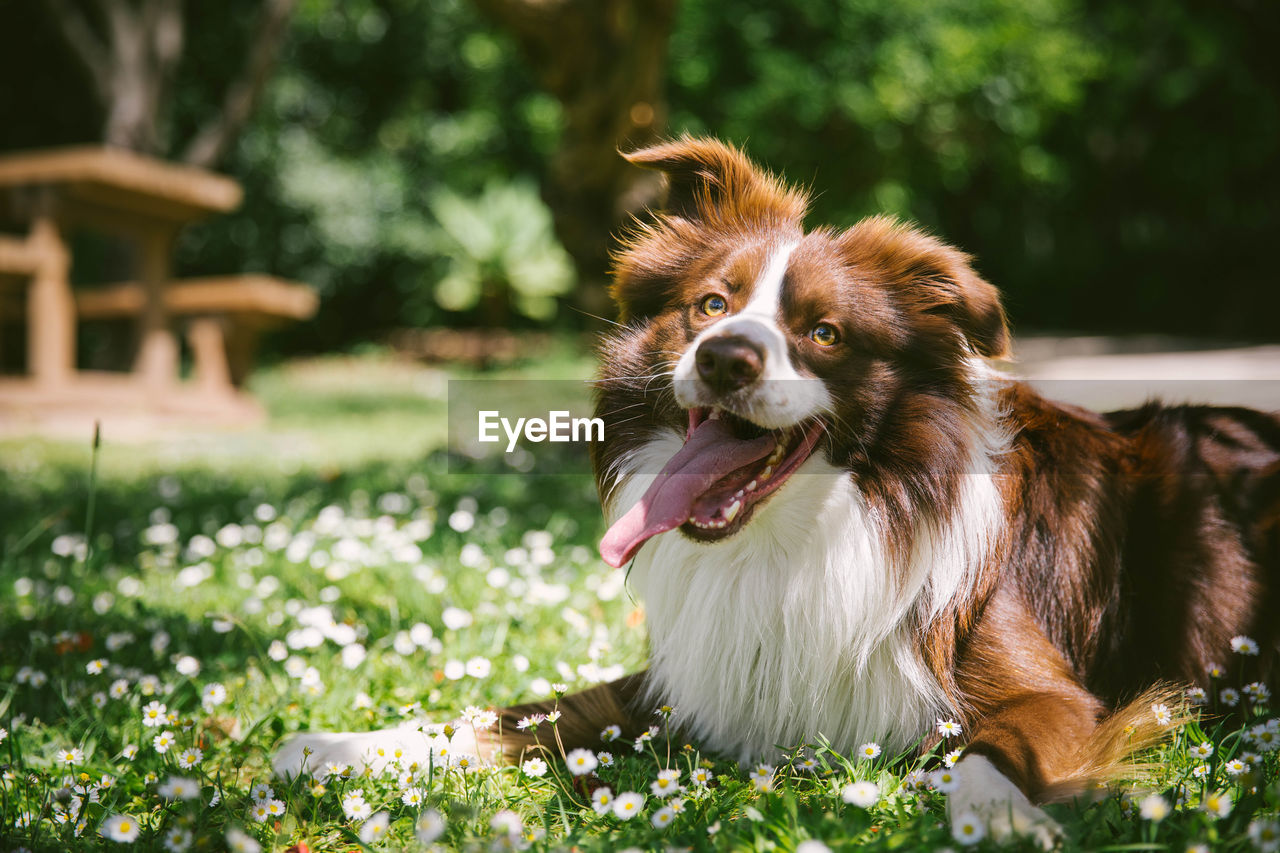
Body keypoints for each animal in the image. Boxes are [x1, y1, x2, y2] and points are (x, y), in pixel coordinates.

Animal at [277, 137, 1280, 835]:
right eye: (711, 305)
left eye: (824, 333)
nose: (724, 357)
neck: (803, 536)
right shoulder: (680, 685)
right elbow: (508, 712)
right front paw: (333, 743)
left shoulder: (1049, 694)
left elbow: (990, 753)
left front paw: (993, 815)